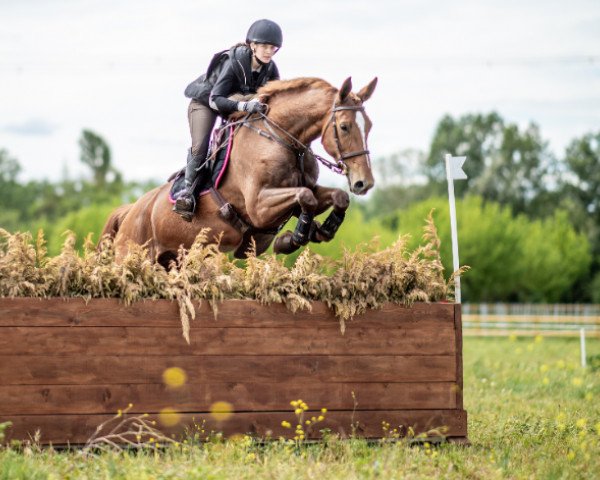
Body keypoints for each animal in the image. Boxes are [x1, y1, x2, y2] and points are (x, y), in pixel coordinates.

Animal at [101, 77, 378, 268]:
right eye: (345, 127)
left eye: (369, 126)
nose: (364, 183)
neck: (282, 139)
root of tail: (131, 210)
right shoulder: (259, 206)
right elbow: (305, 197)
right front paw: (295, 237)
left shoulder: (302, 191)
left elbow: (336, 197)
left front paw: (322, 230)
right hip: (133, 255)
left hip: (173, 261)